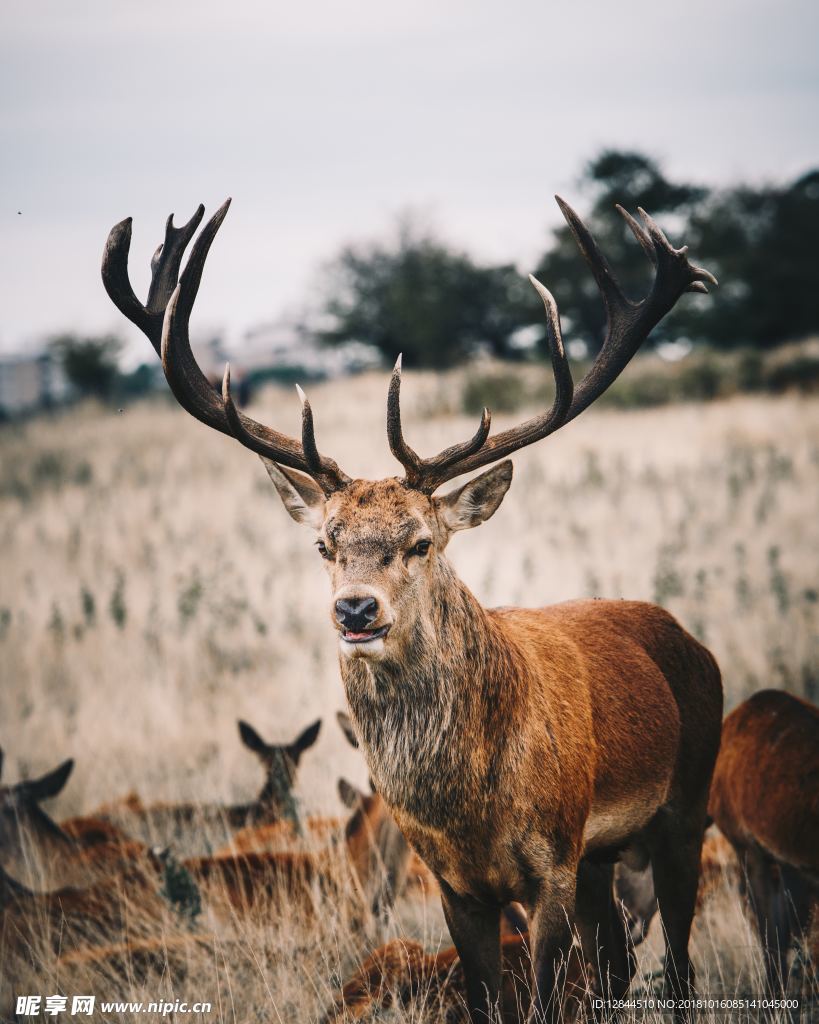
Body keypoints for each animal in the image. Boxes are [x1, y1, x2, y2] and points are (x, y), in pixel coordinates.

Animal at [102, 195, 724, 1019]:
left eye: (421, 541)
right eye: (325, 544)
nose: (356, 611)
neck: (472, 809)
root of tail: (689, 640)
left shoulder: (550, 863)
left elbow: (547, 996)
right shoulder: (456, 885)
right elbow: (491, 998)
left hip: (683, 804)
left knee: (679, 964)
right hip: (602, 856)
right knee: (618, 967)